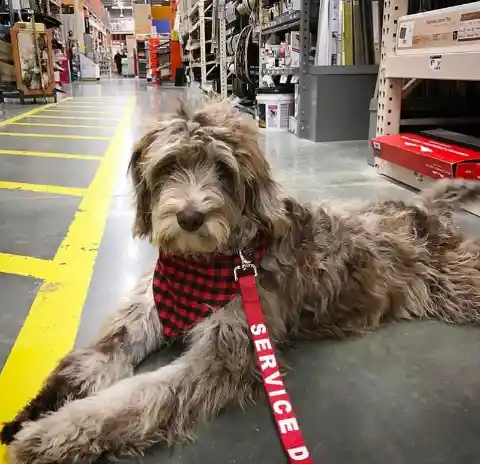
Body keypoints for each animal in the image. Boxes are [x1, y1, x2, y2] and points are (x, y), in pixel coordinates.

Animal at [2, 99, 480, 462]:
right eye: (169, 166)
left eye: (222, 169)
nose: (190, 217)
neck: (208, 262)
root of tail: (422, 211)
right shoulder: (150, 308)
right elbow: (101, 354)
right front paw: (40, 406)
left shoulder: (223, 353)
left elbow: (137, 396)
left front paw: (56, 433)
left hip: (459, 285)